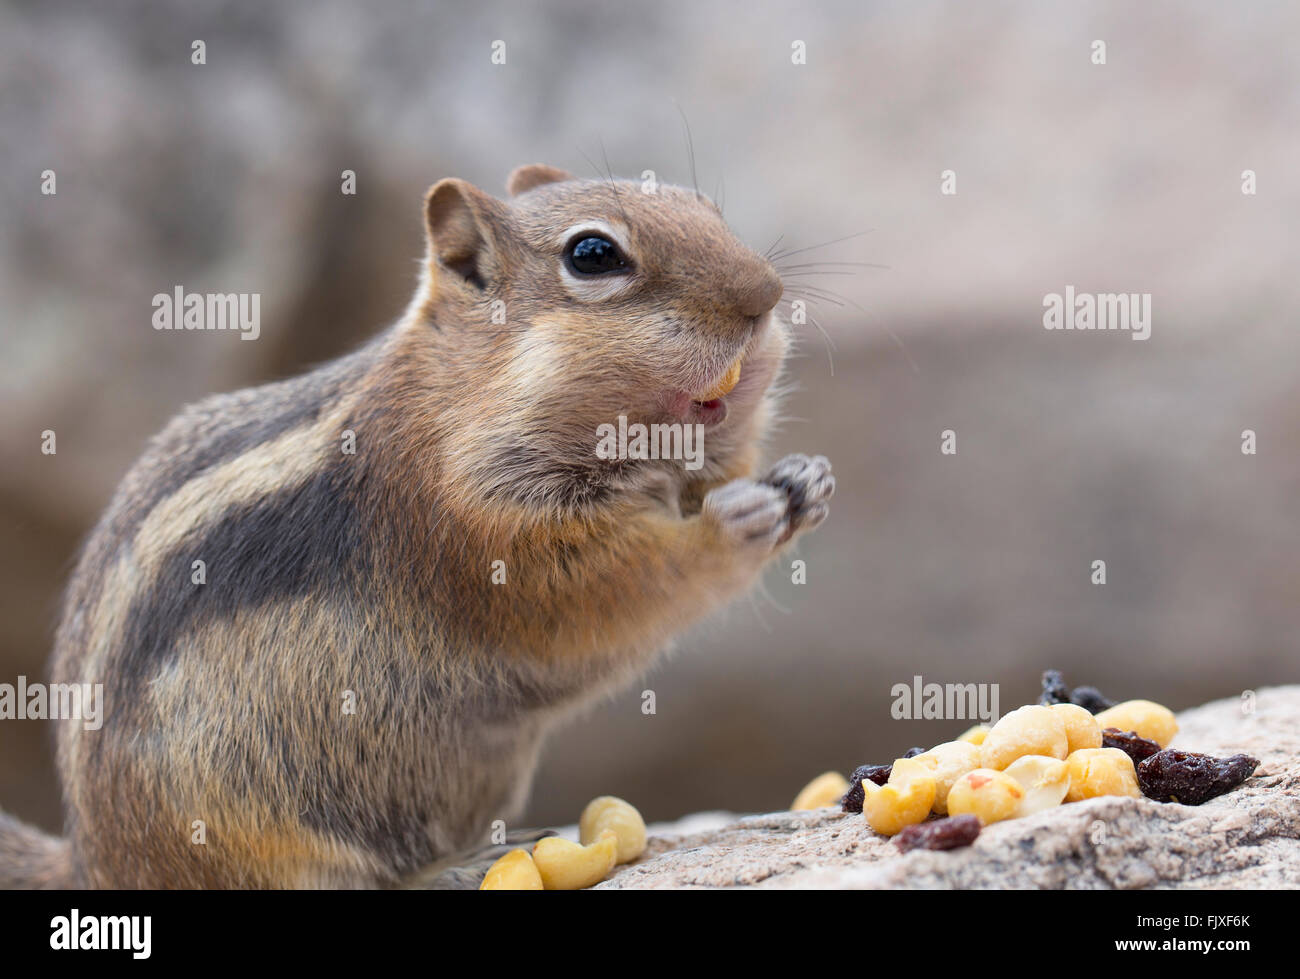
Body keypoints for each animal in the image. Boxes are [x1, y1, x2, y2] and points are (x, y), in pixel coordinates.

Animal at [0, 164, 834, 888]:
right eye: (593, 254)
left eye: (708, 206)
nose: (767, 295)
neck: (453, 397)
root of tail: (93, 861)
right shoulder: (472, 529)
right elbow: (612, 584)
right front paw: (731, 527)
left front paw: (804, 478)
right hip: (248, 824)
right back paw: (456, 866)